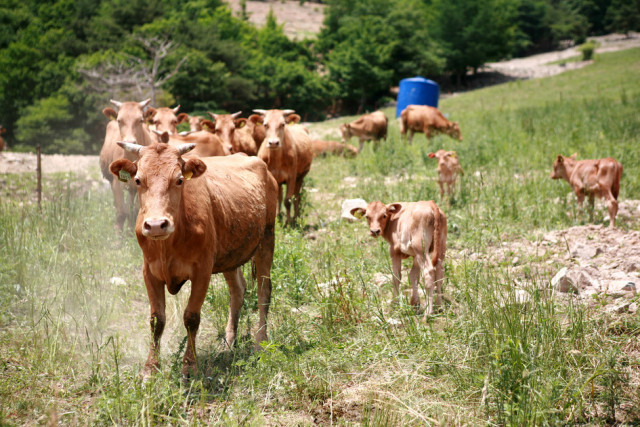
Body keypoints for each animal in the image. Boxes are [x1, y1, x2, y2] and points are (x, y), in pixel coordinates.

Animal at [99, 99, 156, 232]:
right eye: (120, 120)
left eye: (140, 120)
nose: (129, 142)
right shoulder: (117, 184)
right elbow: (121, 212)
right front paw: (117, 236)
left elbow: (135, 210)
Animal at [108, 143, 278, 378]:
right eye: (138, 180)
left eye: (179, 180)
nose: (156, 225)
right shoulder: (149, 272)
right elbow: (156, 320)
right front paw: (150, 369)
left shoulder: (202, 271)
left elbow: (191, 318)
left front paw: (189, 366)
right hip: (230, 254)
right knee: (238, 291)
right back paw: (228, 341)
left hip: (267, 239)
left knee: (263, 290)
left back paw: (261, 343)